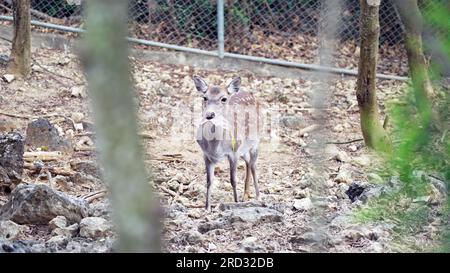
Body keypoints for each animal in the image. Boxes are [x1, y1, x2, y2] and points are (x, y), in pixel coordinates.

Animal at [192, 75, 260, 210]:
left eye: (223, 98)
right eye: (204, 97)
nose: (209, 114)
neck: (216, 148)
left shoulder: (233, 153)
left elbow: (233, 180)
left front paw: (236, 202)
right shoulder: (206, 155)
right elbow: (209, 181)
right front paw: (207, 207)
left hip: (255, 142)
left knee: (253, 165)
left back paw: (258, 197)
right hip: (243, 149)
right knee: (248, 163)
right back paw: (245, 195)